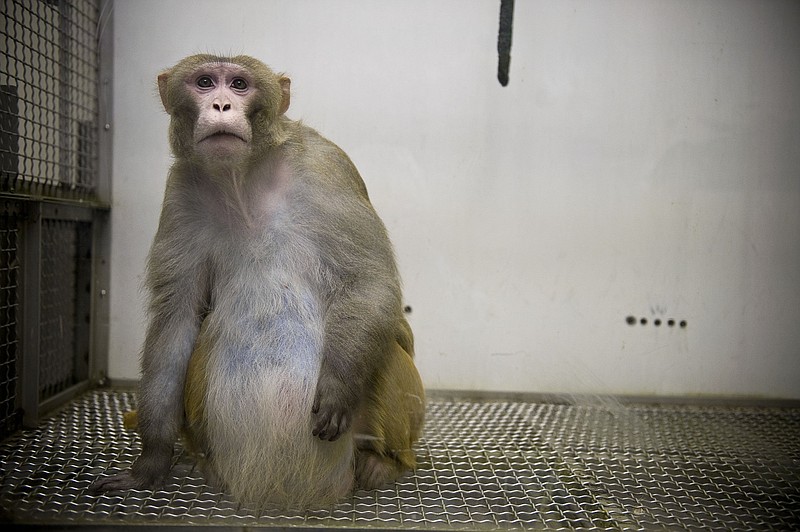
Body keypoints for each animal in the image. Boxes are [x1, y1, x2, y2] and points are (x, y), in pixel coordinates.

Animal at [91, 54, 425, 508]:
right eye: (205, 82)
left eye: (239, 84)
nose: (221, 105)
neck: (241, 179)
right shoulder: (180, 193)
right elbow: (176, 322)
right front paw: (151, 461)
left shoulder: (328, 167)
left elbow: (368, 282)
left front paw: (338, 385)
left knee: (385, 344)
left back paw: (381, 463)